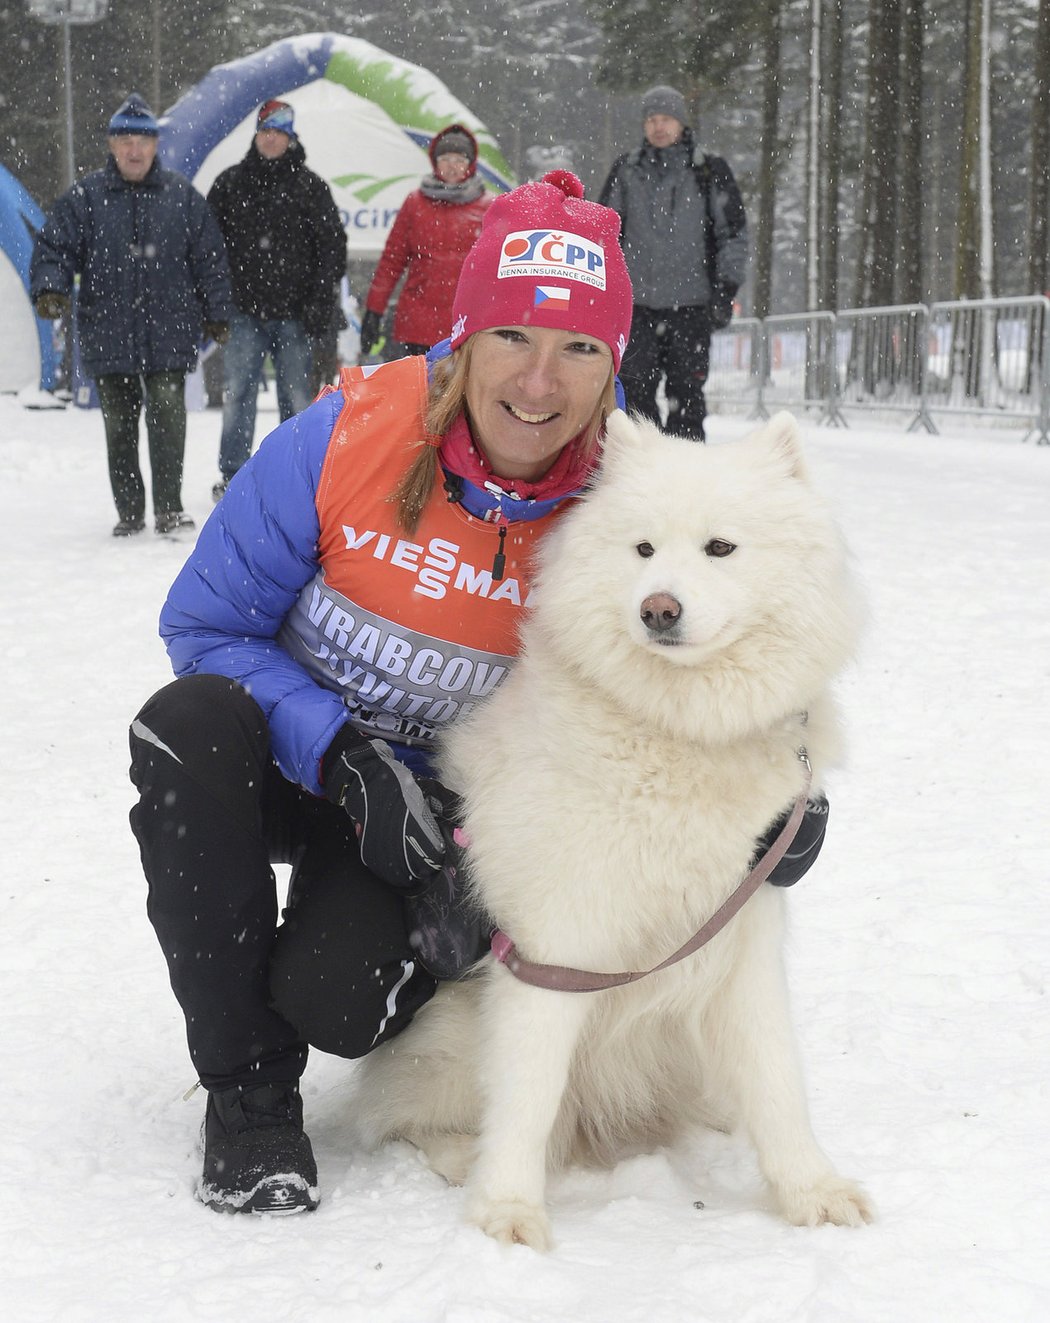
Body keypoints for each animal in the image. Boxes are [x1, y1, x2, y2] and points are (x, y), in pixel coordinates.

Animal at [346, 410, 872, 1248]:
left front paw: (811, 1190)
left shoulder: (741, 934)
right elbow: (528, 1090)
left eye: (720, 548)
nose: (659, 607)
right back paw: (462, 1154)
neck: (675, 731)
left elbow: (777, 1076)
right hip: (450, 1039)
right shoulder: (557, 944)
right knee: (410, 1117)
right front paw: (507, 1211)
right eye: (644, 549)